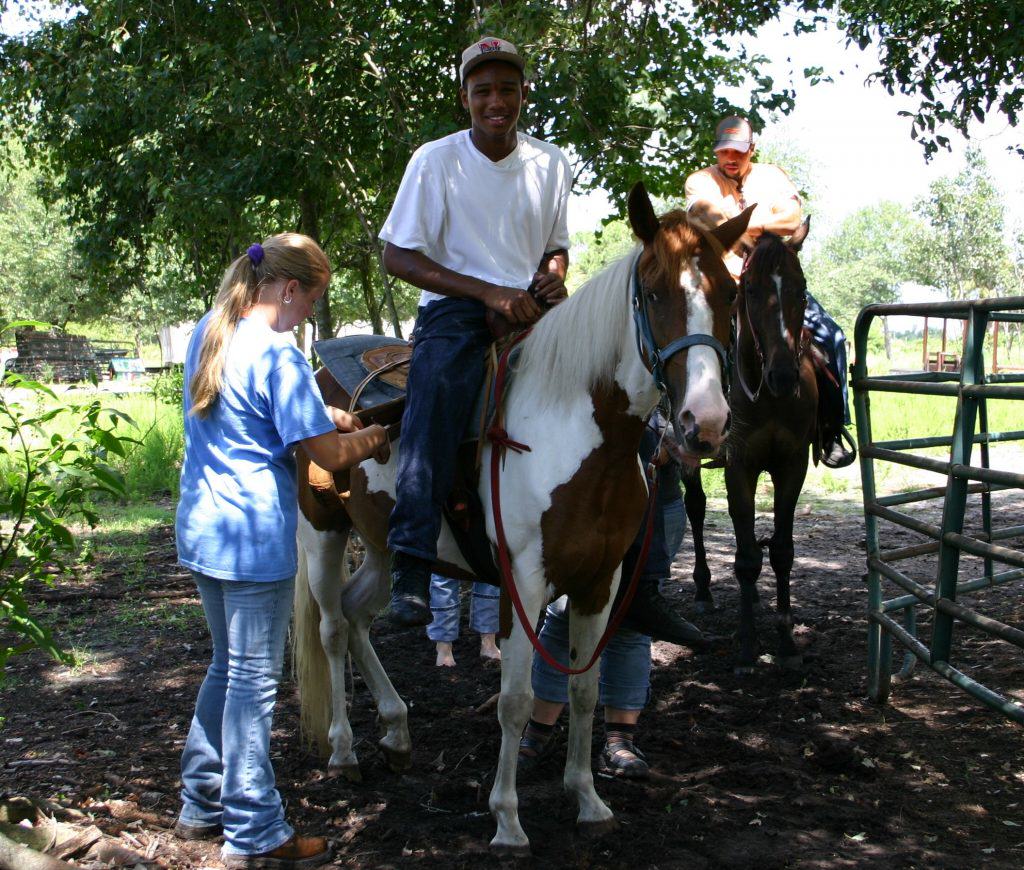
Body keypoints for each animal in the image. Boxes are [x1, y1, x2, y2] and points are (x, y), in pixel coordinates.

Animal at [292, 185, 749, 855]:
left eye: (729, 294)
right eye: (654, 290)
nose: (704, 423)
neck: (581, 430)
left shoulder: (600, 583)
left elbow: (584, 691)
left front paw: (588, 800)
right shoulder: (523, 582)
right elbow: (514, 699)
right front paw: (506, 821)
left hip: (382, 547)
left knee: (356, 616)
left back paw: (397, 733)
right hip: (320, 531)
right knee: (329, 627)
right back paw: (344, 752)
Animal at [684, 220, 819, 667]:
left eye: (801, 287)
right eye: (751, 290)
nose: (783, 375)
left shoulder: (791, 465)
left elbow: (781, 551)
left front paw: (786, 640)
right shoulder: (739, 467)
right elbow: (745, 558)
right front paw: (746, 644)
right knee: (695, 509)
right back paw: (703, 589)